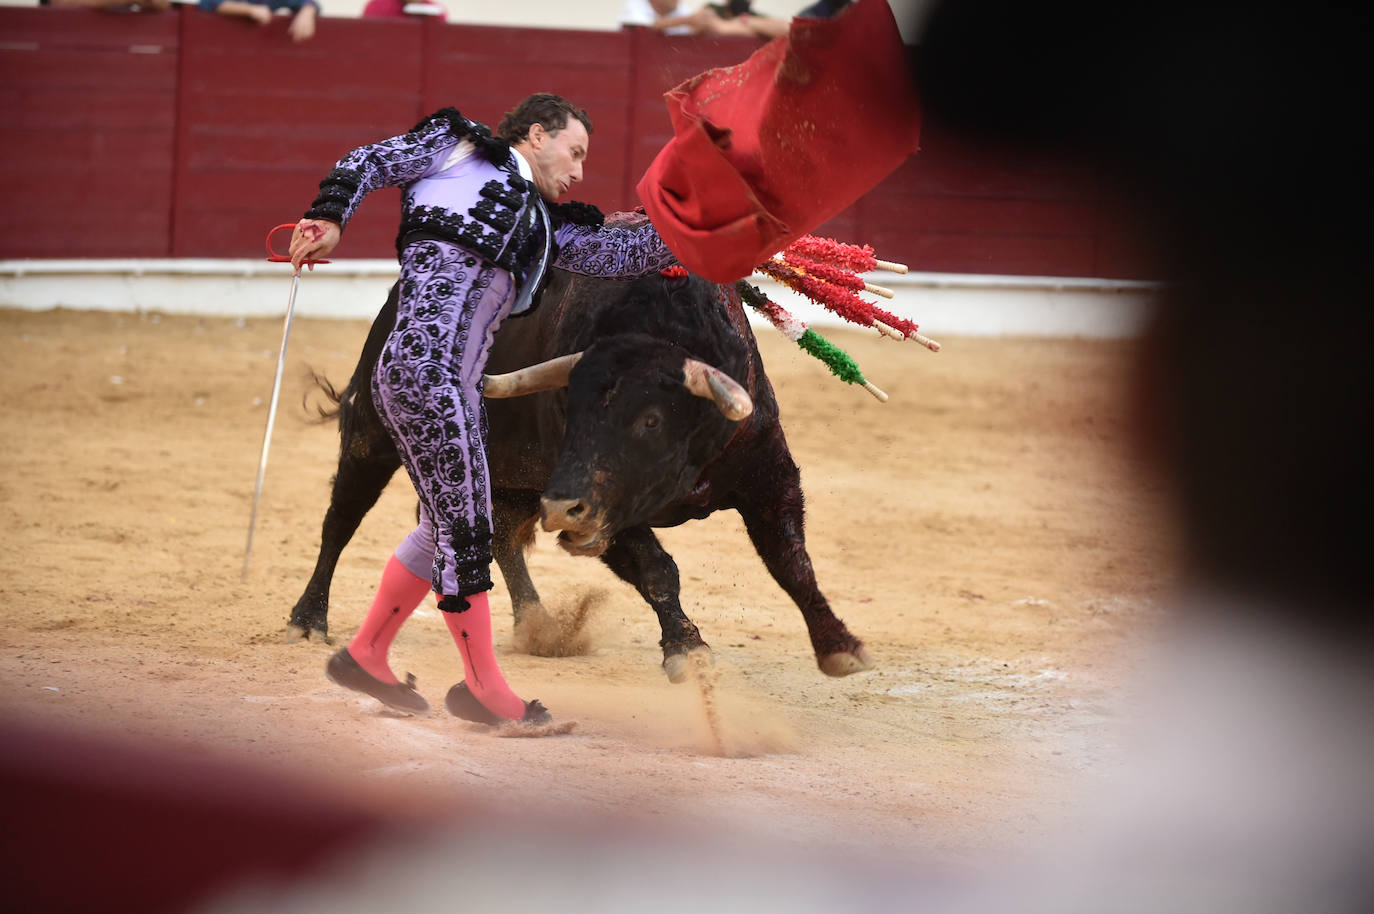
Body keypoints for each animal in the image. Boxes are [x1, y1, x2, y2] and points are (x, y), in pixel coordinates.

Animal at [287, 232, 868, 681]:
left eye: (650, 420)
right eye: (569, 408)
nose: (561, 510)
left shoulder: (768, 473)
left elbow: (791, 560)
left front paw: (839, 646)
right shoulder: (605, 510)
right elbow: (658, 569)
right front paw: (688, 649)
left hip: (503, 476)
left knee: (497, 537)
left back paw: (538, 627)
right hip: (374, 436)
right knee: (341, 518)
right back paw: (308, 618)